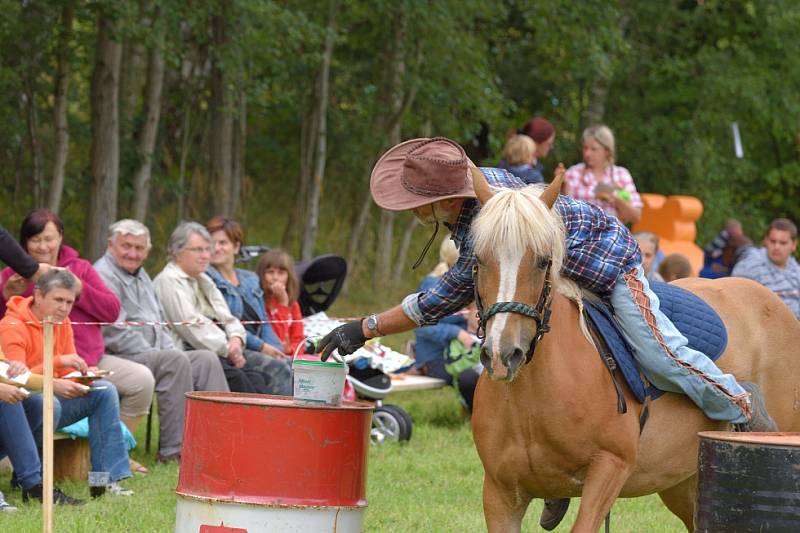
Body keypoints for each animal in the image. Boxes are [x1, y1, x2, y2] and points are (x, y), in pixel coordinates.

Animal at [468, 167, 800, 532]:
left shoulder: (609, 469)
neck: (532, 399)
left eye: (543, 261)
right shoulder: (499, 493)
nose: (502, 354)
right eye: (479, 261)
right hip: (684, 484)